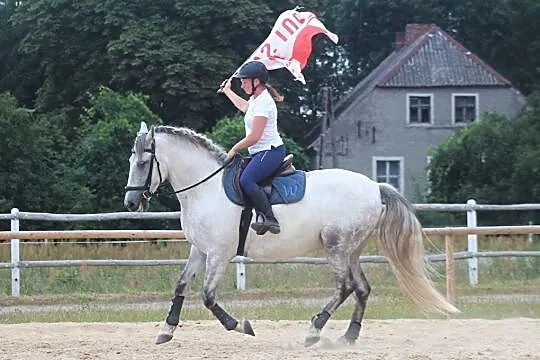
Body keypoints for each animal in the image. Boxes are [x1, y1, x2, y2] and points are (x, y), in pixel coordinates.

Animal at [124, 123, 458, 346]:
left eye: (143, 162)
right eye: (132, 161)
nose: (130, 202)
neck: (206, 188)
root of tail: (375, 187)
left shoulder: (219, 253)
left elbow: (207, 297)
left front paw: (241, 325)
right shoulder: (200, 250)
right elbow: (181, 285)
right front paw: (166, 330)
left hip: (336, 247)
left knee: (345, 287)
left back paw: (314, 331)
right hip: (351, 248)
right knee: (362, 288)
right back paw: (348, 337)